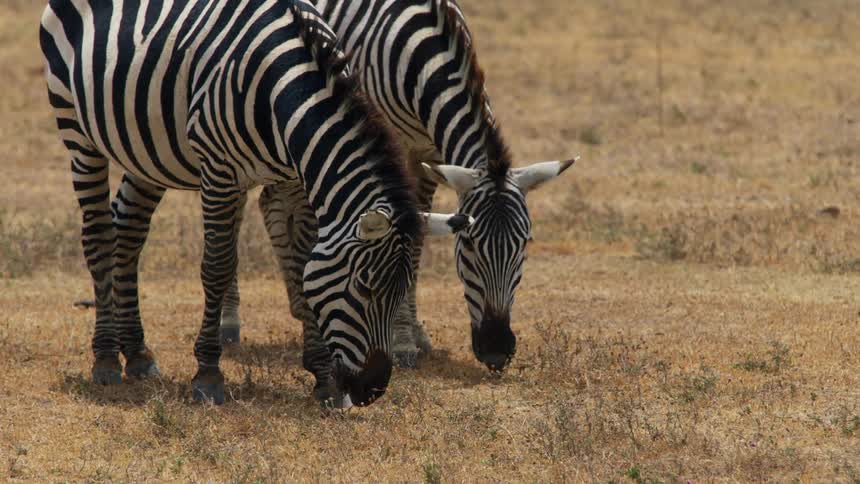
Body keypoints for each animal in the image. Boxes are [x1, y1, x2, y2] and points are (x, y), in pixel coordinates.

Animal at [40, 0, 471, 407]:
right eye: (364, 288)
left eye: (403, 289)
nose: (373, 389)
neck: (285, 89)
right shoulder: (218, 171)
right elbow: (216, 268)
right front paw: (208, 374)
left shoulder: (298, 177)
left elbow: (302, 265)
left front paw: (323, 377)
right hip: (76, 126)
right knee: (98, 235)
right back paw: (106, 358)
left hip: (147, 149)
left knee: (129, 230)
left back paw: (138, 353)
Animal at [221, 0, 576, 371]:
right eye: (468, 246)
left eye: (525, 244)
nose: (496, 350)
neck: (426, 61)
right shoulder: (392, 150)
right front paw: (403, 340)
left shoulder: (430, 155)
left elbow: (418, 239)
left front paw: (415, 333)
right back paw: (230, 322)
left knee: (271, 203)